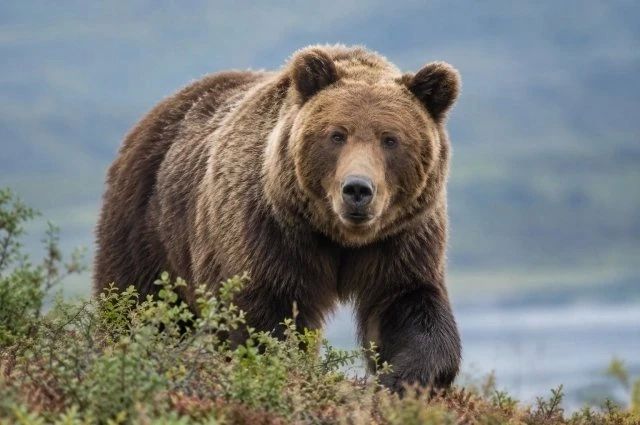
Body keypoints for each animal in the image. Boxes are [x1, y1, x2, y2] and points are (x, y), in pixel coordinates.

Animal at [94, 44, 461, 392]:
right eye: (337, 134)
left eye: (390, 139)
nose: (357, 189)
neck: (340, 238)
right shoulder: (270, 230)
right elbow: (264, 312)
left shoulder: (402, 239)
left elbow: (408, 305)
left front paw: (401, 379)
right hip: (146, 225)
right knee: (136, 301)